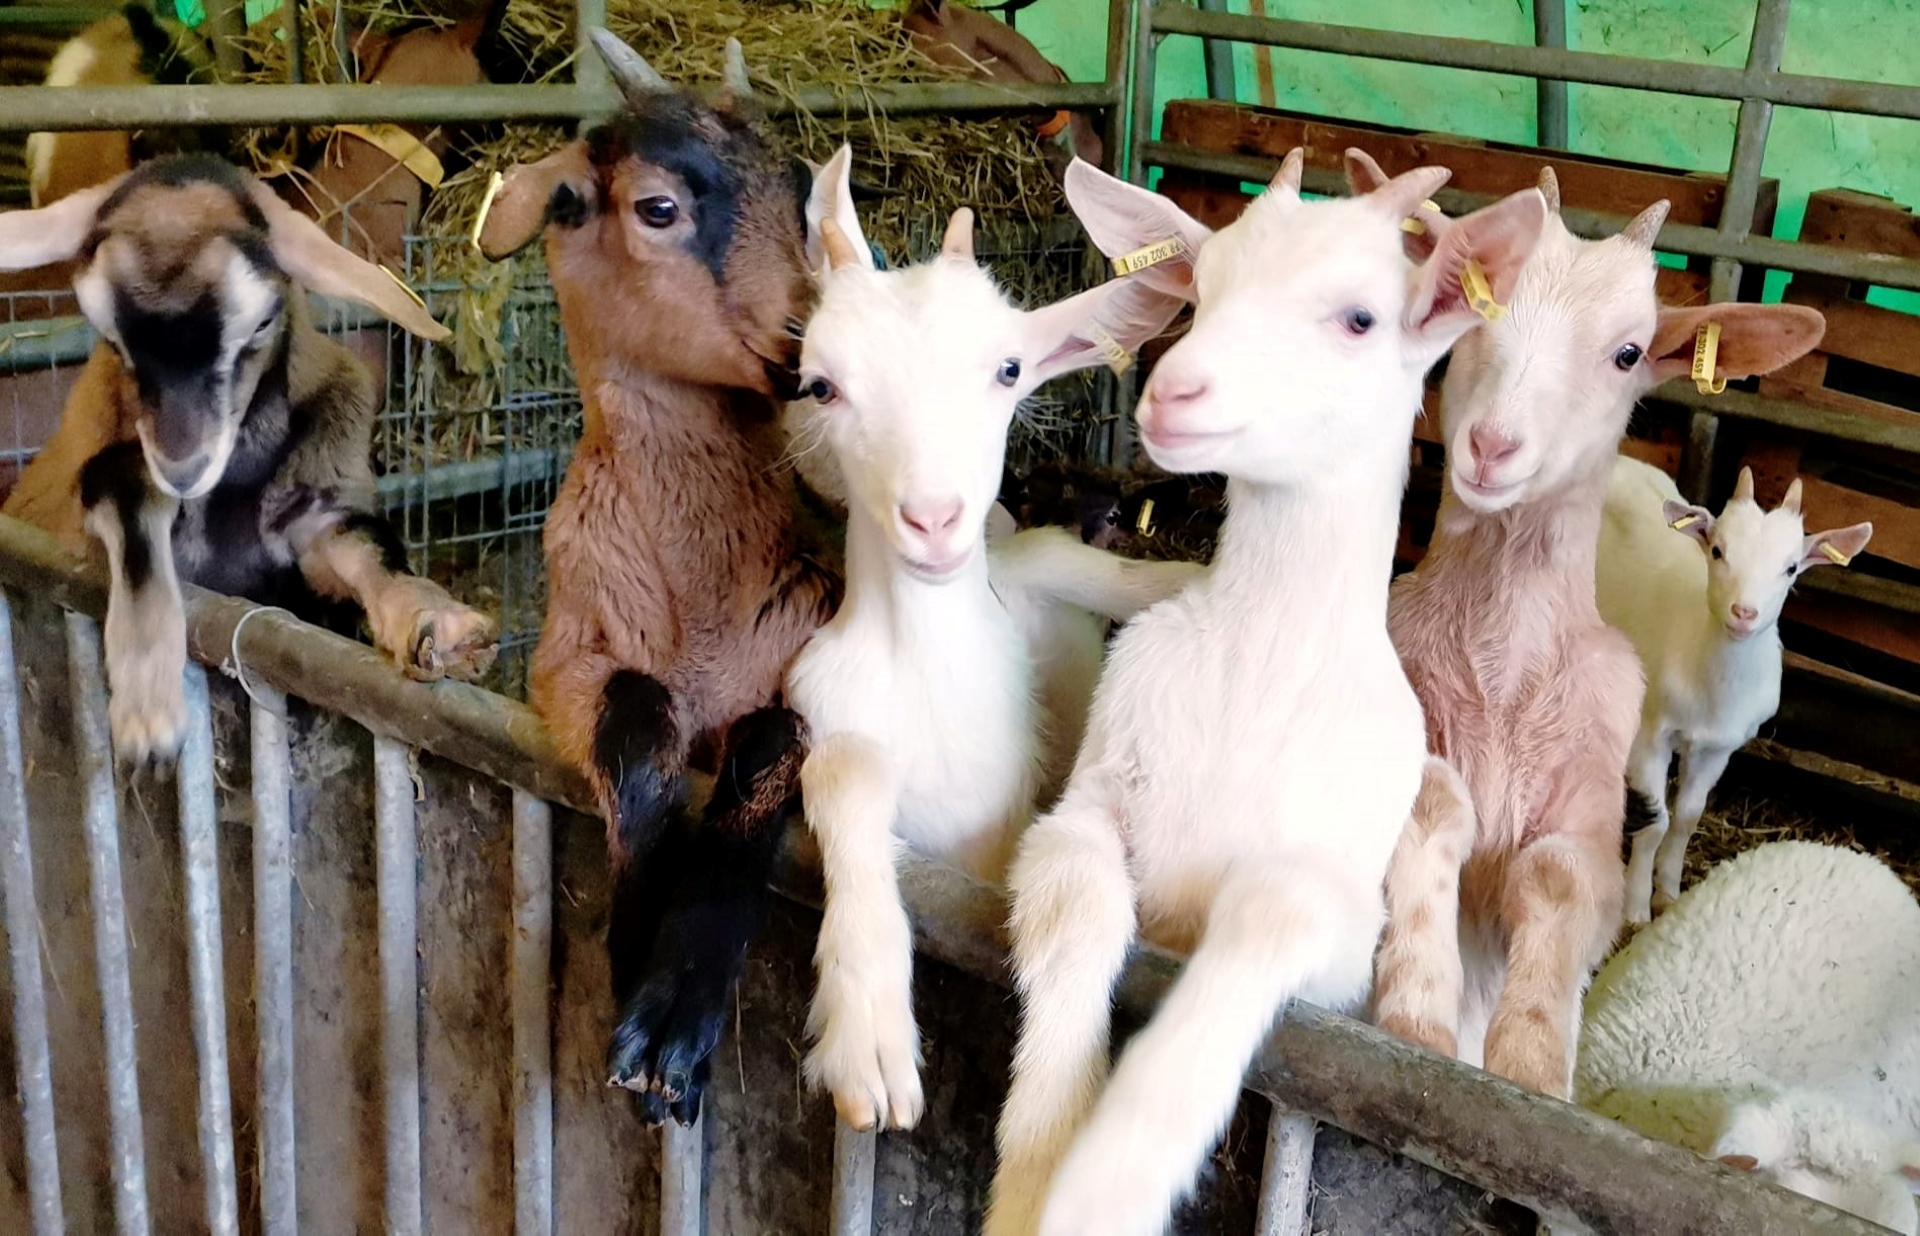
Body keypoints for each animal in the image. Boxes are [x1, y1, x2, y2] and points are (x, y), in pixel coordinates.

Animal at [0, 151, 499, 763]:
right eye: (113, 341)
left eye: (262, 322)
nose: (183, 468)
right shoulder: (95, 490)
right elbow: (135, 522)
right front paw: (148, 703)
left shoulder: (315, 508)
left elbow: (366, 549)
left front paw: (442, 627)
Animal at [983, 149, 1551, 1228]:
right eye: (1200, 291)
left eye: (1362, 318)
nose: (1175, 392)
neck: (1257, 661)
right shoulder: (1093, 798)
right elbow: (1073, 895)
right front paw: (1035, 1173)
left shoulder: (1339, 945)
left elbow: (1272, 908)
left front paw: (1111, 1176)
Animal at [1374, 162, 1820, 1090]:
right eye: (1468, 304)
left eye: (1628, 353)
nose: (1492, 445)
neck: (1502, 674)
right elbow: (1431, 802)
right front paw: (1419, 1013)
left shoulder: (1595, 795)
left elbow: (1558, 876)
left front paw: (1529, 1063)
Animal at [1589, 458, 1873, 921]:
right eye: (1718, 551)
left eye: (1791, 568)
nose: (1744, 613)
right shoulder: (1650, 737)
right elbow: (1657, 822)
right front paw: (1635, 909)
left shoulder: (1719, 748)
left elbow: (1687, 816)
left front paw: (1667, 893)